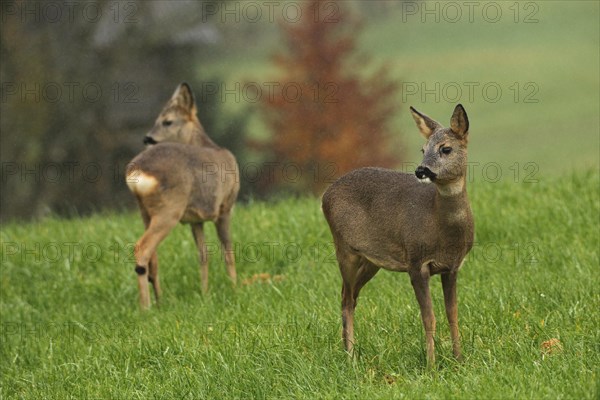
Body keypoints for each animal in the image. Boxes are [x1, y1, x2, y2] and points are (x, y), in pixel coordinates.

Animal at [126, 83, 239, 310]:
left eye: (167, 121)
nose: (147, 138)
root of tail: (136, 172)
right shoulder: (225, 207)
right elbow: (227, 251)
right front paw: (236, 289)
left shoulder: (195, 220)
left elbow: (203, 255)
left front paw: (205, 294)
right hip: (169, 210)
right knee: (142, 248)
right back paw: (146, 307)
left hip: (145, 212)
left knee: (153, 258)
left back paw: (160, 301)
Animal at [322, 104, 476, 368]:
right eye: (423, 149)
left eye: (446, 148)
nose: (421, 170)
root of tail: (324, 196)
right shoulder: (416, 263)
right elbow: (429, 317)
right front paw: (431, 366)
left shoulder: (452, 267)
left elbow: (452, 314)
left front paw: (459, 360)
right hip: (344, 250)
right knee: (345, 299)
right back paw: (351, 358)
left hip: (370, 261)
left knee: (351, 296)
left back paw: (348, 353)